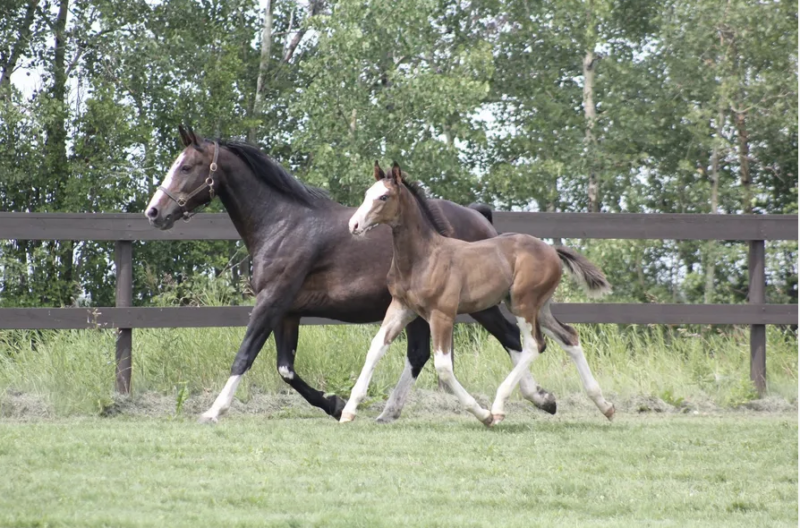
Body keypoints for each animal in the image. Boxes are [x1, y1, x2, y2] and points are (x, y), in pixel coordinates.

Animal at [145, 128, 556, 424]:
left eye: (185, 167)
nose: (154, 212)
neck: (282, 224)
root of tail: (481, 217)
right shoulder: (287, 312)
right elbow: (286, 369)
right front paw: (336, 404)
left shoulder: (271, 301)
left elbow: (244, 355)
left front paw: (213, 411)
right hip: (423, 310)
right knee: (423, 354)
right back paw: (390, 412)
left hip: (477, 305)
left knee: (513, 339)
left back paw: (538, 399)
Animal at [340, 163, 616, 426]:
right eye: (367, 194)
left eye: (384, 196)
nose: (354, 225)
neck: (423, 257)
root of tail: (550, 249)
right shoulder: (401, 307)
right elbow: (376, 348)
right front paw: (348, 412)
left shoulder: (442, 314)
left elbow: (443, 366)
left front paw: (482, 414)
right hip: (538, 306)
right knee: (569, 336)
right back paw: (605, 405)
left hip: (523, 304)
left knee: (534, 344)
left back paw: (499, 407)